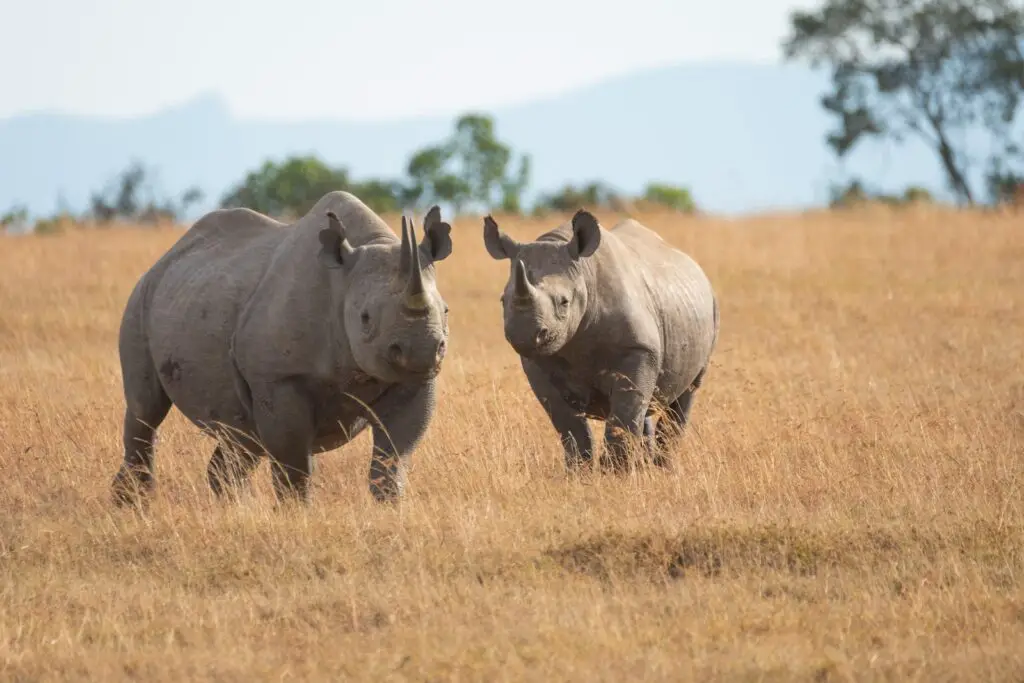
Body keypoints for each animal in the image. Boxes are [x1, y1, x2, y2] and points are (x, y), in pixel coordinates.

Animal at [112, 189, 452, 505]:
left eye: (446, 311)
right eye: (365, 318)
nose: (421, 351)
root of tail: (164, 259)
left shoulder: (411, 382)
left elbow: (392, 458)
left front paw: (391, 509)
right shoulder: (279, 378)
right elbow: (293, 465)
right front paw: (298, 514)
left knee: (241, 434)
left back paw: (237, 509)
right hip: (141, 298)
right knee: (146, 410)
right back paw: (132, 505)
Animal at [481, 210, 716, 473]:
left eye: (564, 302)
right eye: (503, 300)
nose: (524, 335)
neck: (585, 274)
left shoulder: (639, 349)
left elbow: (623, 415)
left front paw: (615, 473)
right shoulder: (536, 363)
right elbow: (569, 425)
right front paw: (578, 474)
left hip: (709, 308)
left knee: (684, 395)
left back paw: (663, 470)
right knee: (644, 406)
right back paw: (646, 468)